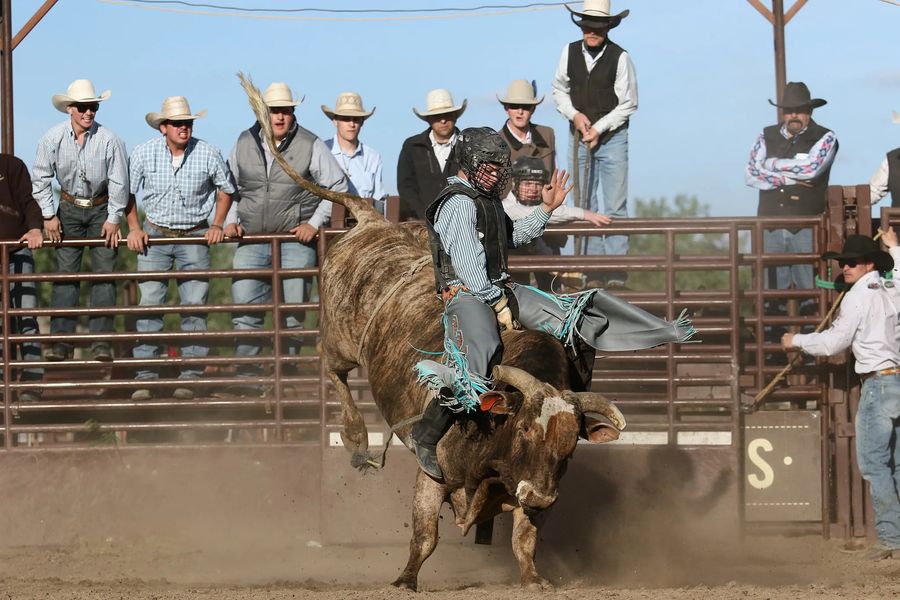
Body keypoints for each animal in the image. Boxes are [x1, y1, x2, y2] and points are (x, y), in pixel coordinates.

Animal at [237, 75, 688, 592]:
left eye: (571, 443)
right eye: (525, 430)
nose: (540, 495)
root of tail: (370, 221)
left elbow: (525, 540)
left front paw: (535, 580)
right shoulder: (433, 477)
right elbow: (425, 535)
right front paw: (405, 581)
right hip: (341, 341)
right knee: (332, 369)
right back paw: (355, 440)